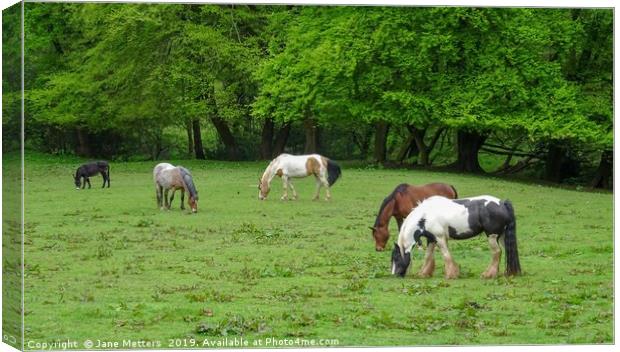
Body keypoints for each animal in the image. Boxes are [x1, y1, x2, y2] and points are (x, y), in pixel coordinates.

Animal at [392, 194, 520, 280]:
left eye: (396, 258)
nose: (395, 275)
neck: (426, 216)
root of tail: (502, 203)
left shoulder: (440, 238)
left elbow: (446, 255)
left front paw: (451, 275)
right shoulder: (432, 239)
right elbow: (428, 256)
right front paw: (423, 273)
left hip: (492, 236)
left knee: (497, 252)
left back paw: (488, 274)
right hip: (502, 236)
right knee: (507, 251)